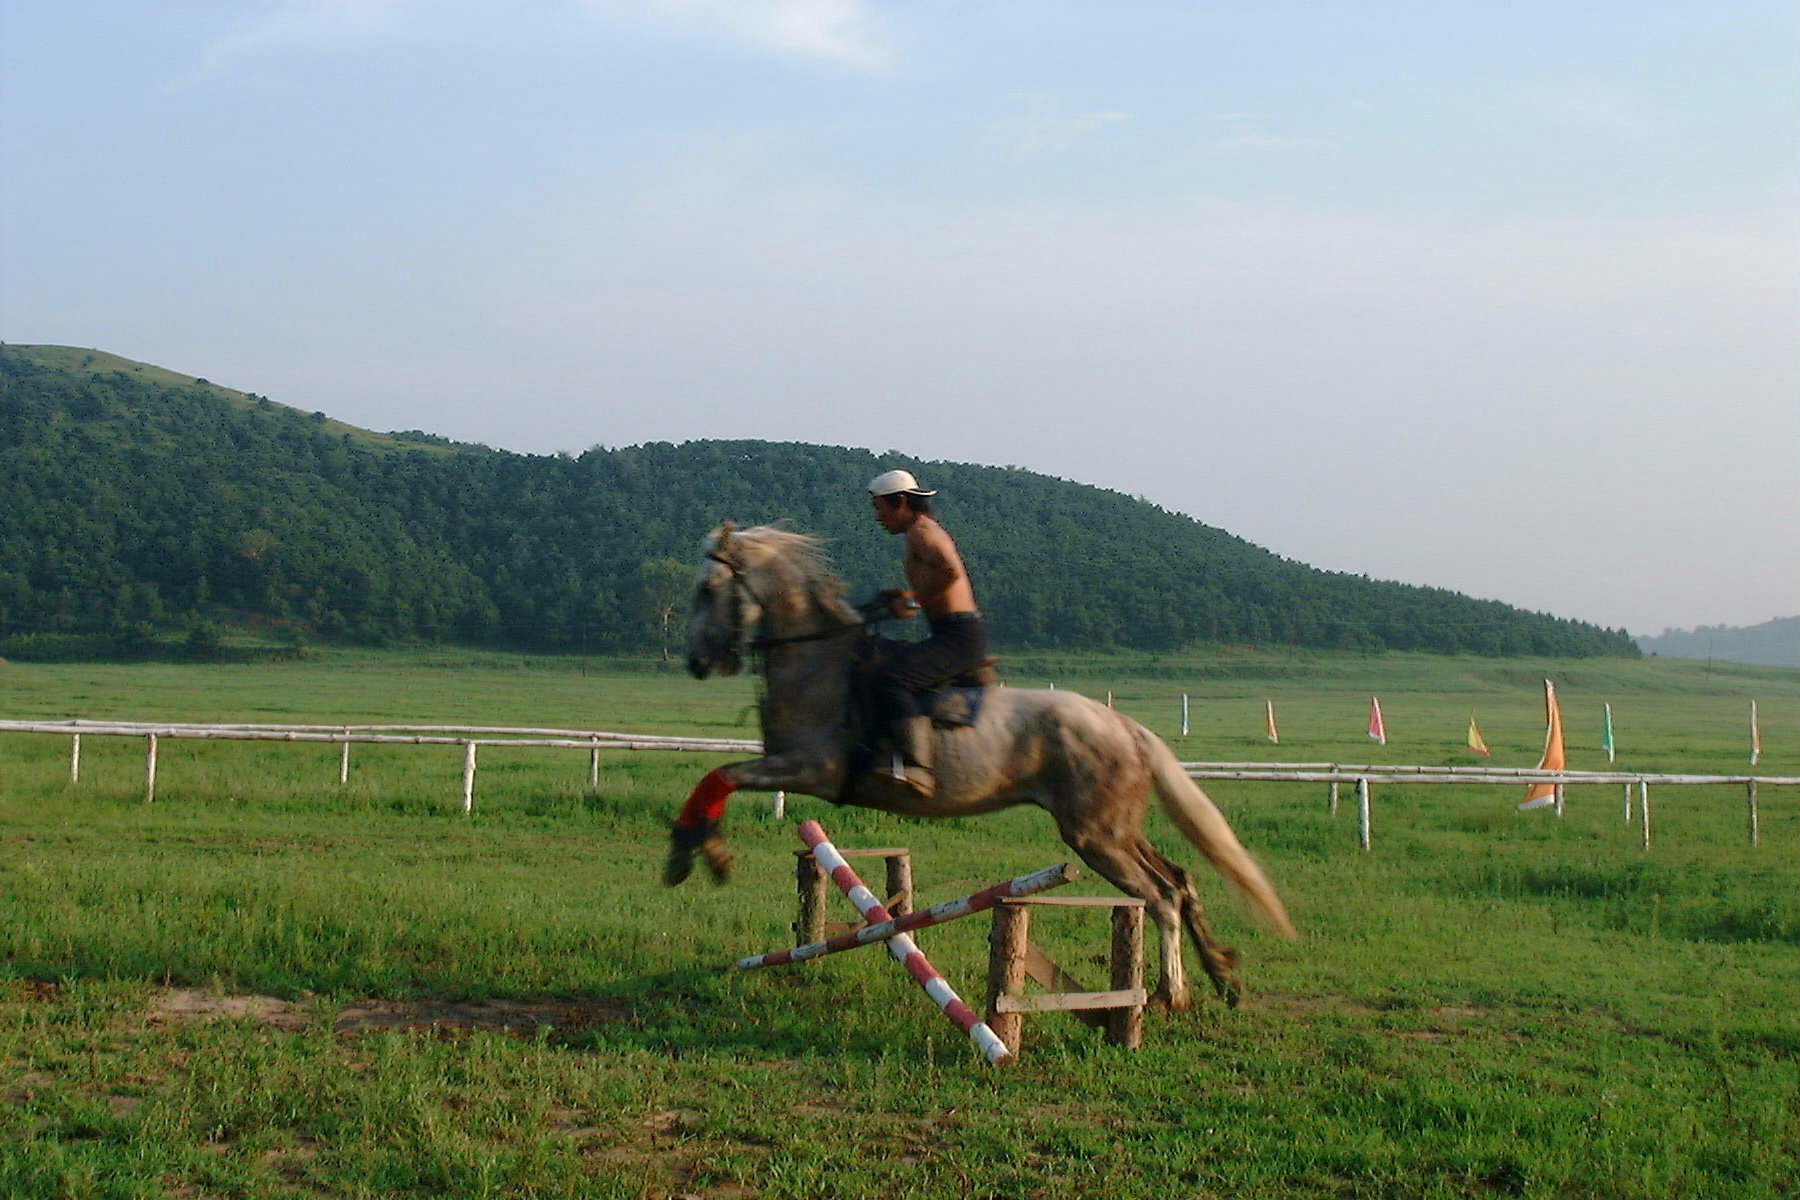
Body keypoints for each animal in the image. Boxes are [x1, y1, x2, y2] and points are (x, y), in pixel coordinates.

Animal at [666, 521, 1296, 1007]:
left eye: (707, 588)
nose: (695, 661)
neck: (819, 661)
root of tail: (1128, 728)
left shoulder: (808, 769)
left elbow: (716, 777)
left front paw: (695, 855)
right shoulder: (789, 766)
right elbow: (716, 779)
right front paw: (700, 853)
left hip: (1096, 837)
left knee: (1160, 896)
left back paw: (1171, 994)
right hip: (1115, 829)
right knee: (1182, 882)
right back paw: (1221, 977)